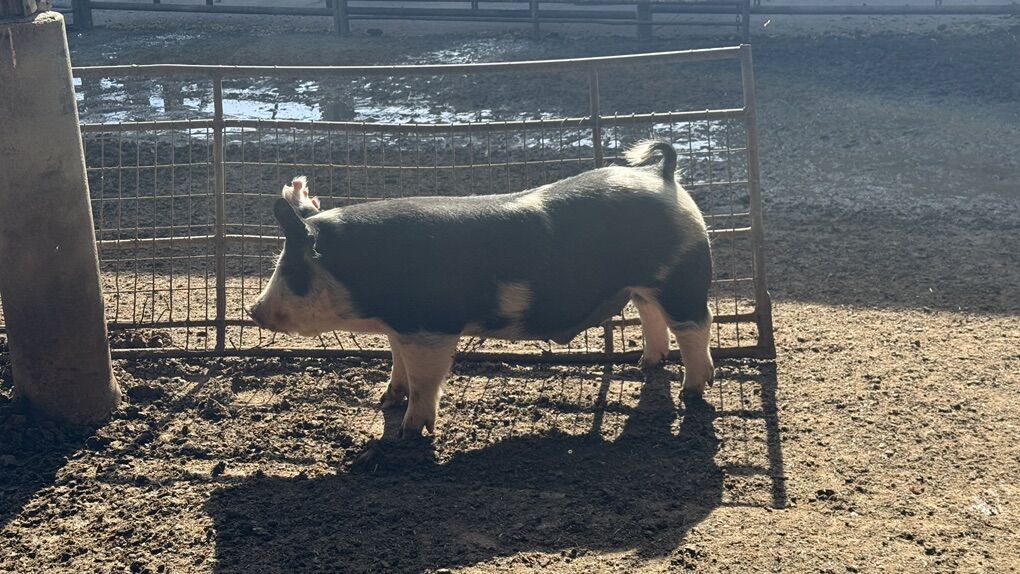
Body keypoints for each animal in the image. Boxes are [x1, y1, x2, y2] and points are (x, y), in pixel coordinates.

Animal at [249, 140, 714, 437]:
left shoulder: (432, 326)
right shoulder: (400, 327)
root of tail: (663, 177)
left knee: (695, 326)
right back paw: (646, 363)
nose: (254, 310)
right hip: (643, 284)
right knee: (651, 314)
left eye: (294, 271)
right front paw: (386, 401)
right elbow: (398, 364)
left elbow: (425, 379)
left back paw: (694, 390)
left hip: (681, 276)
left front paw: (409, 431)